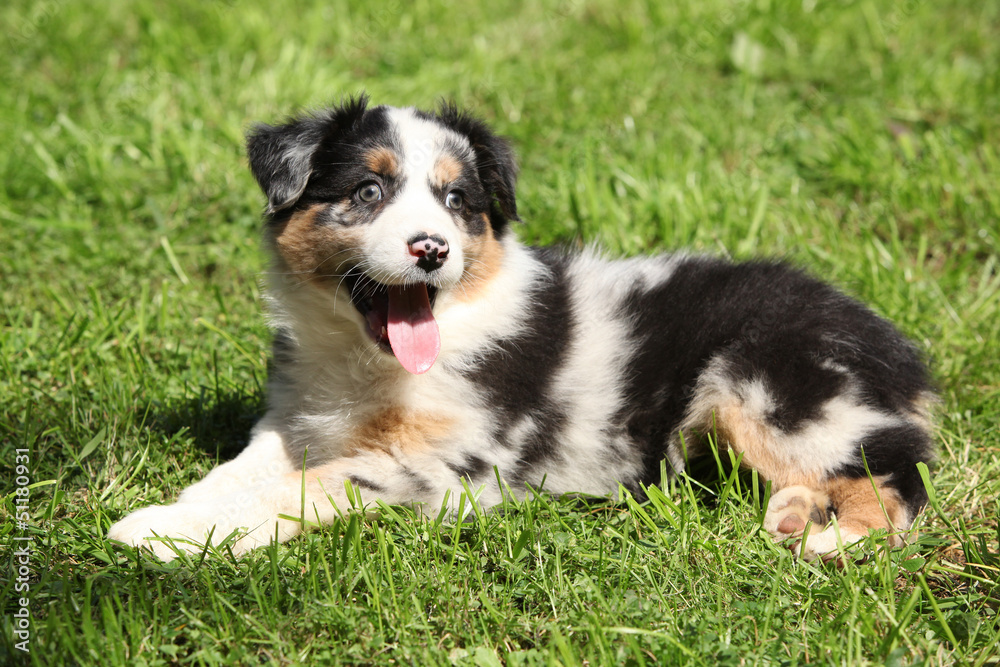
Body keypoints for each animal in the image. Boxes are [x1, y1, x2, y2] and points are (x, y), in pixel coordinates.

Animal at [109, 95, 936, 564]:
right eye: (368, 191)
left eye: (457, 201)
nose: (431, 249)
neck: (364, 360)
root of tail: (890, 340)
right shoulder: (294, 418)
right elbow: (240, 472)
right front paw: (176, 515)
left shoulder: (449, 468)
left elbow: (305, 487)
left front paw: (172, 538)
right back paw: (796, 513)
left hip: (765, 389)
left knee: (896, 479)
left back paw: (835, 537)